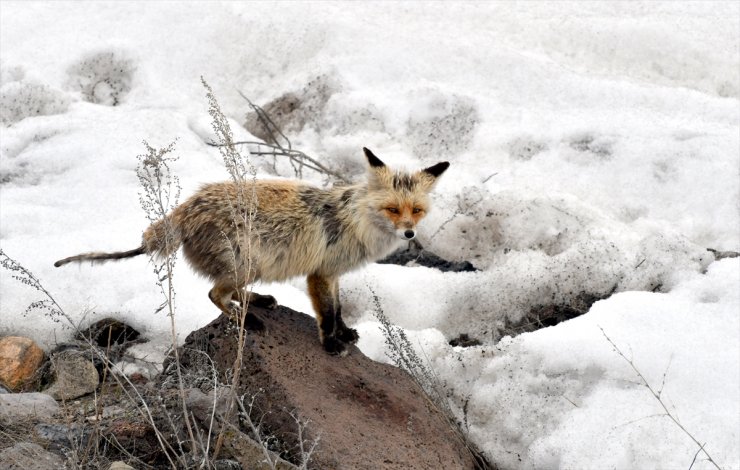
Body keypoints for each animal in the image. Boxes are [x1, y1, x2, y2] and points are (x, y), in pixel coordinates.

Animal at [55, 149, 448, 354]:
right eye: (393, 209)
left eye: (416, 210)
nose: (410, 232)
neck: (353, 221)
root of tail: (186, 208)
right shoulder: (320, 274)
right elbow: (326, 314)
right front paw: (331, 343)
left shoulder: (332, 273)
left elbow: (338, 310)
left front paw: (346, 332)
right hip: (247, 262)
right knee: (214, 294)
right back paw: (245, 318)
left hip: (250, 266)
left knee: (229, 291)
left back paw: (256, 302)